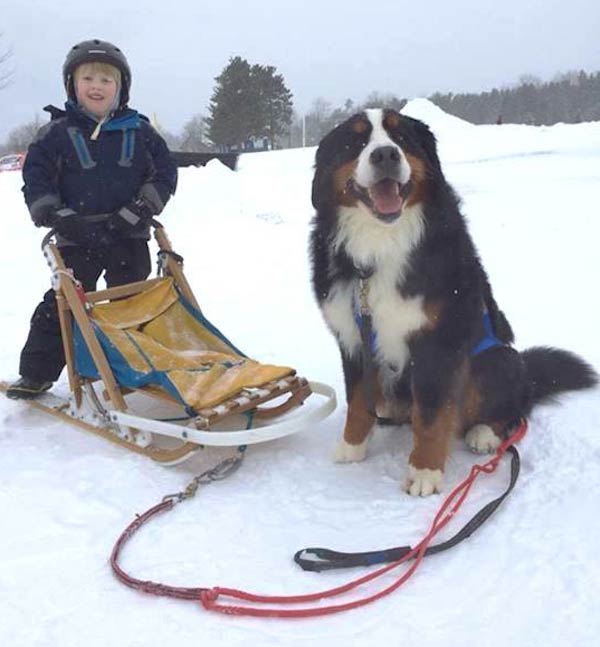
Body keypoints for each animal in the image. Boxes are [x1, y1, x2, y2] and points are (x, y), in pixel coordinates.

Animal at [312, 109, 596, 498]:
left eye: (402, 139)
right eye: (355, 142)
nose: (385, 155)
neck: (381, 245)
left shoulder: (440, 341)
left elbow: (432, 414)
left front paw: (424, 471)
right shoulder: (353, 337)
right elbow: (358, 398)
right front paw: (352, 446)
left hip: (493, 360)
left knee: (514, 408)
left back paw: (484, 433)